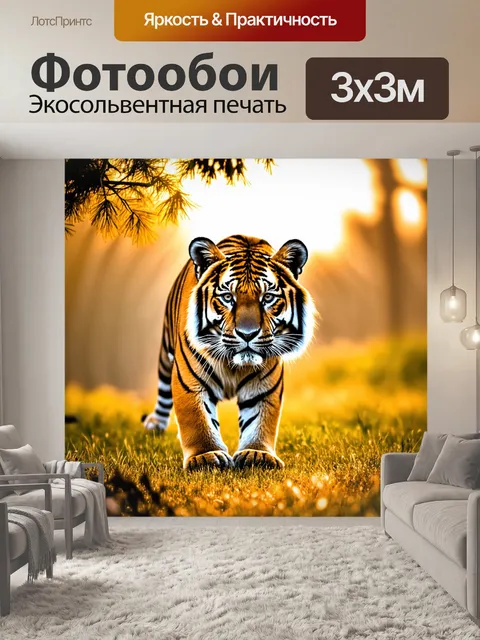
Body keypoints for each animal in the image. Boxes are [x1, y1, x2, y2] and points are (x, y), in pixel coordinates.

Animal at [143, 234, 316, 471]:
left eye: (268, 298)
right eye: (227, 297)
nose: (247, 334)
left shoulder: (263, 387)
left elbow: (261, 421)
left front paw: (257, 453)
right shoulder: (189, 382)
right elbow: (197, 418)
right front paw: (206, 456)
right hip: (165, 354)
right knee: (162, 390)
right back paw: (155, 424)